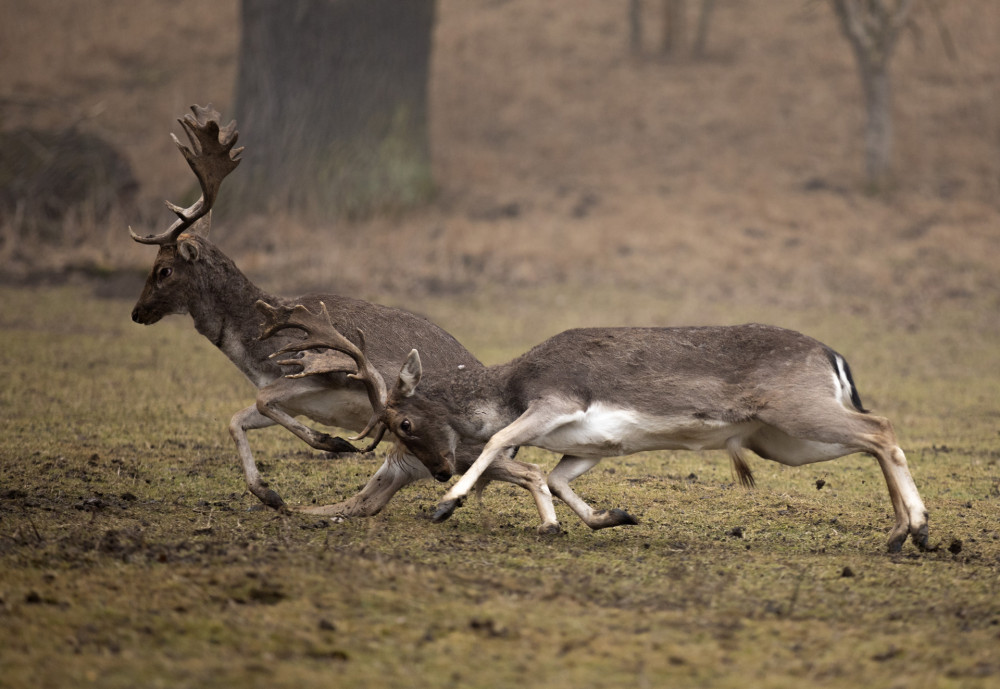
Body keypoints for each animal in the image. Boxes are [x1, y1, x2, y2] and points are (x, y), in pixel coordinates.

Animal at [129, 103, 556, 528]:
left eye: (163, 270)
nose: (137, 312)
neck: (254, 345)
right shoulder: (295, 400)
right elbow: (238, 418)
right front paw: (268, 492)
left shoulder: (315, 373)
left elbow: (264, 400)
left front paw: (331, 443)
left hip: (458, 450)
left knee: (527, 469)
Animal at [264, 304, 928, 552]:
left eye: (403, 421)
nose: (439, 469)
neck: (508, 389)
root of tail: (833, 356)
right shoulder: (592, 446)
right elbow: (559, 479)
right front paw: (608, 517)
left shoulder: (555, 401)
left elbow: (502, 439)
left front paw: (446, 505)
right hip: (786, 442)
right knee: (874, 437)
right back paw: (899, 534)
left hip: (796, 414)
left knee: (882, 428)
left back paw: (918, 526)